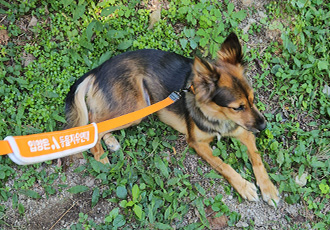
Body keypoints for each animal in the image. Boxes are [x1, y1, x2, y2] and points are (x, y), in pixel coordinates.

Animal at [65, 32, 280, 207]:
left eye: (253, 100)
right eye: (237, 107)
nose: (264, 126)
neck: (217, 115)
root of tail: (97, 69)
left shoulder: (244, 132)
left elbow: (257, 158)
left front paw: (268, 188)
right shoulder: (197, 143)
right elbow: (223, 165)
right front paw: (244, 186)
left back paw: (111, 141)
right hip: (137, 107)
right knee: (95, 122)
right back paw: (101, 157)